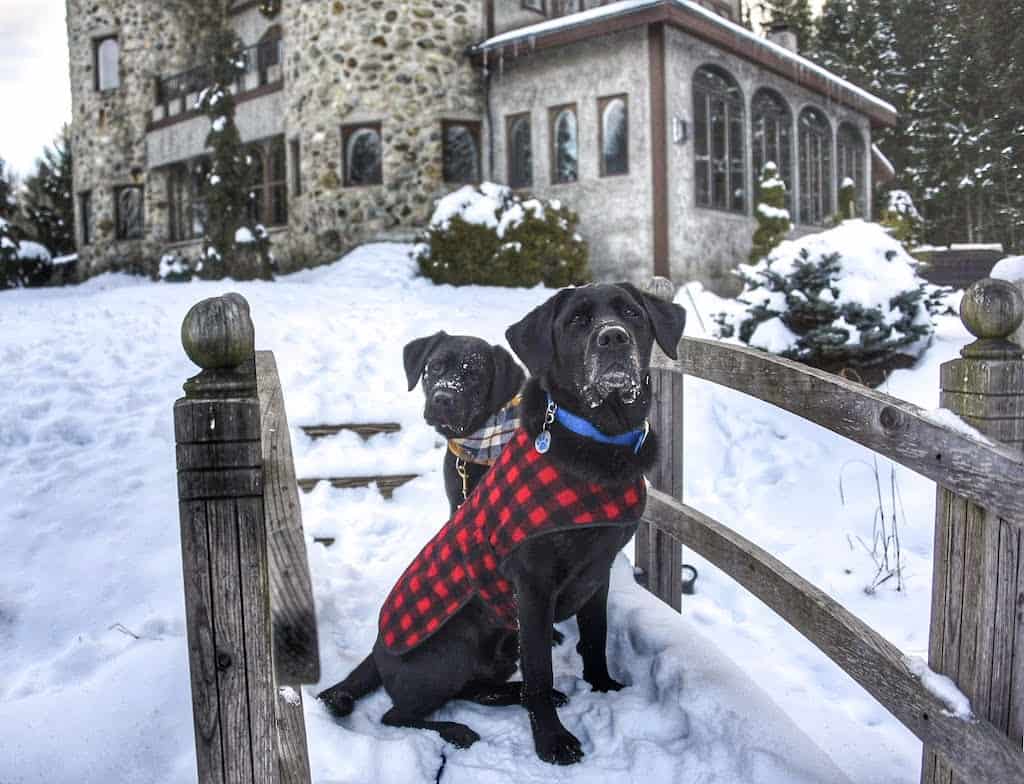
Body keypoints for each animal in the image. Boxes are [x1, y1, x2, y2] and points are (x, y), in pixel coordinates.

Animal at [317, 284, 688, 769]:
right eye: (577, 320)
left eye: (632, 314)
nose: (613, 338)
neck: (600, 436)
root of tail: (376, 652)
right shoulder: (531, 585)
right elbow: (540, 669)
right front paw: (551, 741)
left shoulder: (598, 569)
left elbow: (595, 636)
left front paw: (602, 686)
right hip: (452, 646)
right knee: (398, 714)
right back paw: (458, 729)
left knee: (477, 688)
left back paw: (510, 695)